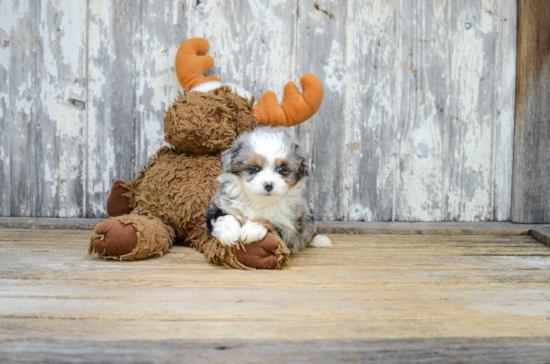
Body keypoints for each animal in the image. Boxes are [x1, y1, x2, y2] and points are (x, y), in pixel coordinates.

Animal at [206, 126, 332, 255]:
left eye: (281, 169)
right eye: (254, 168)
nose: (268, 185)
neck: (258, 201)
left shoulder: (288, 230)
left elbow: (269, 222)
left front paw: (253, 228)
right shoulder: (219, 204)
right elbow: (223, 217)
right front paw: (229, 232)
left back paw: (320, 240)